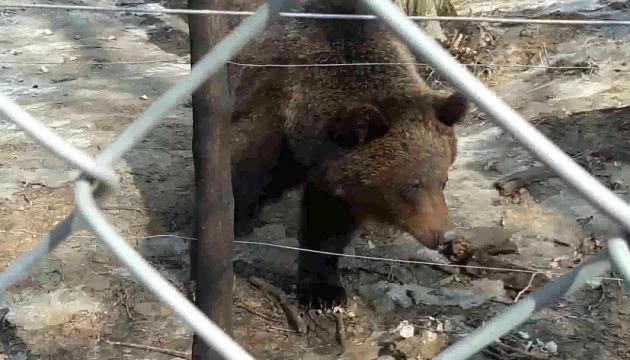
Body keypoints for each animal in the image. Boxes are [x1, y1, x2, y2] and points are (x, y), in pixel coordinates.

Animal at [228, 0, 470, 306]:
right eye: (411, 185)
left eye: (443, 181)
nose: (447, 235)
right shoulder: (271, 120)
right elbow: (243, 180)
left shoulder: (339, 175)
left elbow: (327, 227)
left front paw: (323, 290)